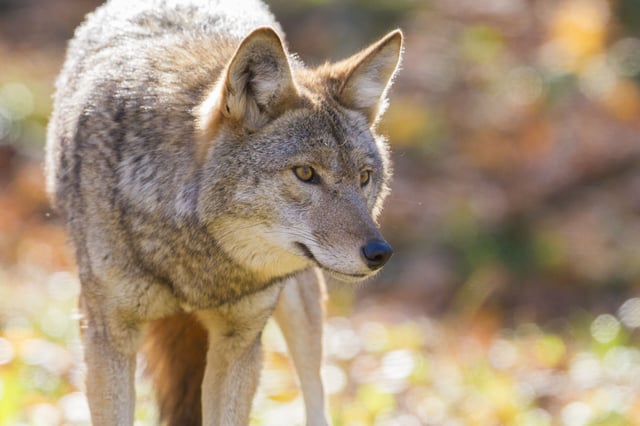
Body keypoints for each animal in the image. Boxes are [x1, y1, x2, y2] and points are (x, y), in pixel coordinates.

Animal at [45, 0, 402, 424]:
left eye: (364, 177)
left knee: (316, 396)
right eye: (305, 173)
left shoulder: (240, 343)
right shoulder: (107, 337)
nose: (380, 253)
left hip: (300, 309)